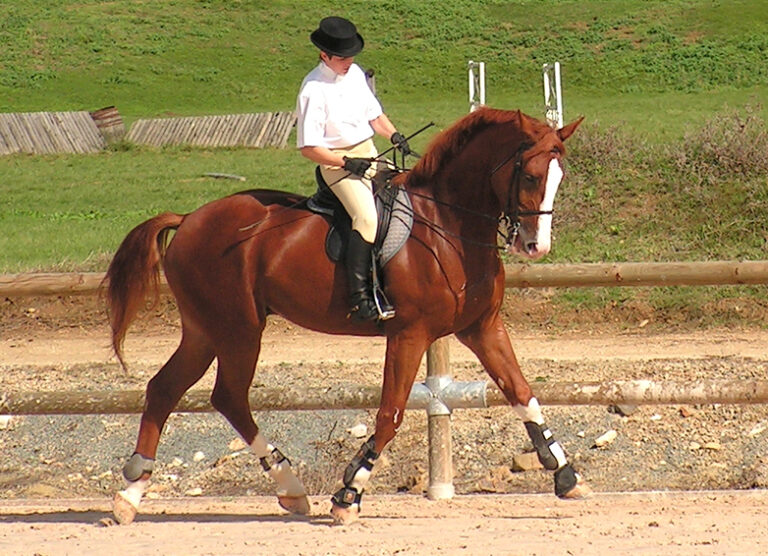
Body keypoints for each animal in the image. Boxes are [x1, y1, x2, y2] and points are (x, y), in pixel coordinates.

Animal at [105, 107, 587, 525]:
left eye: (559, 178)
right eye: (530, 176)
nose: (535, 246)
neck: (449, 226)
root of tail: (189, 218)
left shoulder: (482, 328)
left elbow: (522, 393)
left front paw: (565, 474)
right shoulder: (410, 334)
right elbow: (390, 413)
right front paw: (349, 494)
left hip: (206, 331)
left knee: (168, 389)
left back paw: (134, 495)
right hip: (237, 330)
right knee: (227, 395)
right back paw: (285, 485)